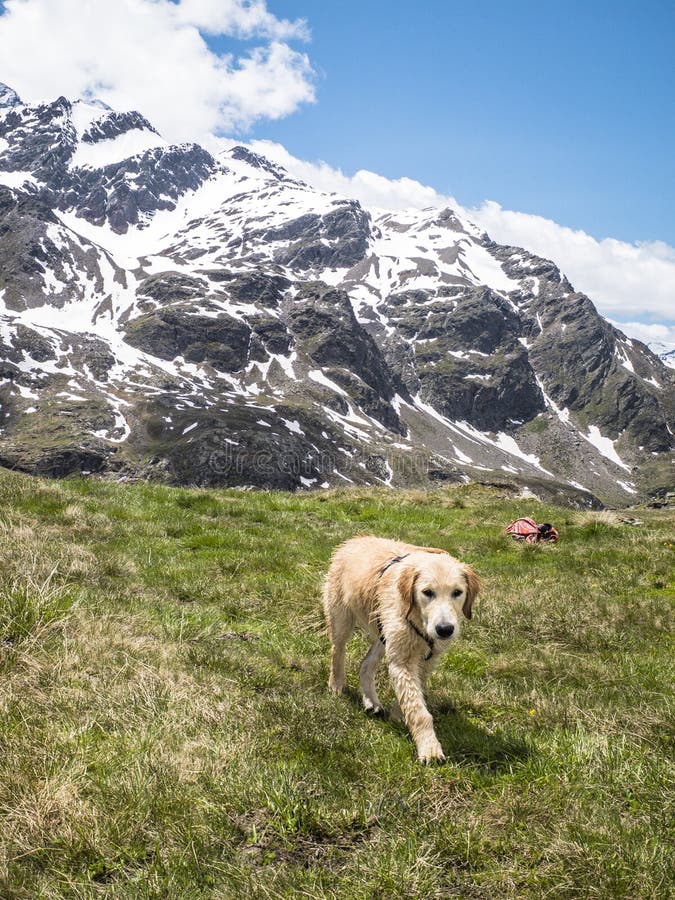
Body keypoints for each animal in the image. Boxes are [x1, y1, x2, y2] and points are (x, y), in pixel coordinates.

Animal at [322, 536, 480, 764]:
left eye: (457, 593)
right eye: (427, 592)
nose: (445, 629)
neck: (419, 621)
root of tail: (355, 539)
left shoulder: (427, 661)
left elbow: (410, 696)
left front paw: (398, 716)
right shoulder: (402, 659)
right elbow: (418, 710)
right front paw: (429, 748)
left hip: (384, 632)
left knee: (365, 664)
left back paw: (371, 700)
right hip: (342, 617)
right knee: (337, 650)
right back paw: (336, 684)